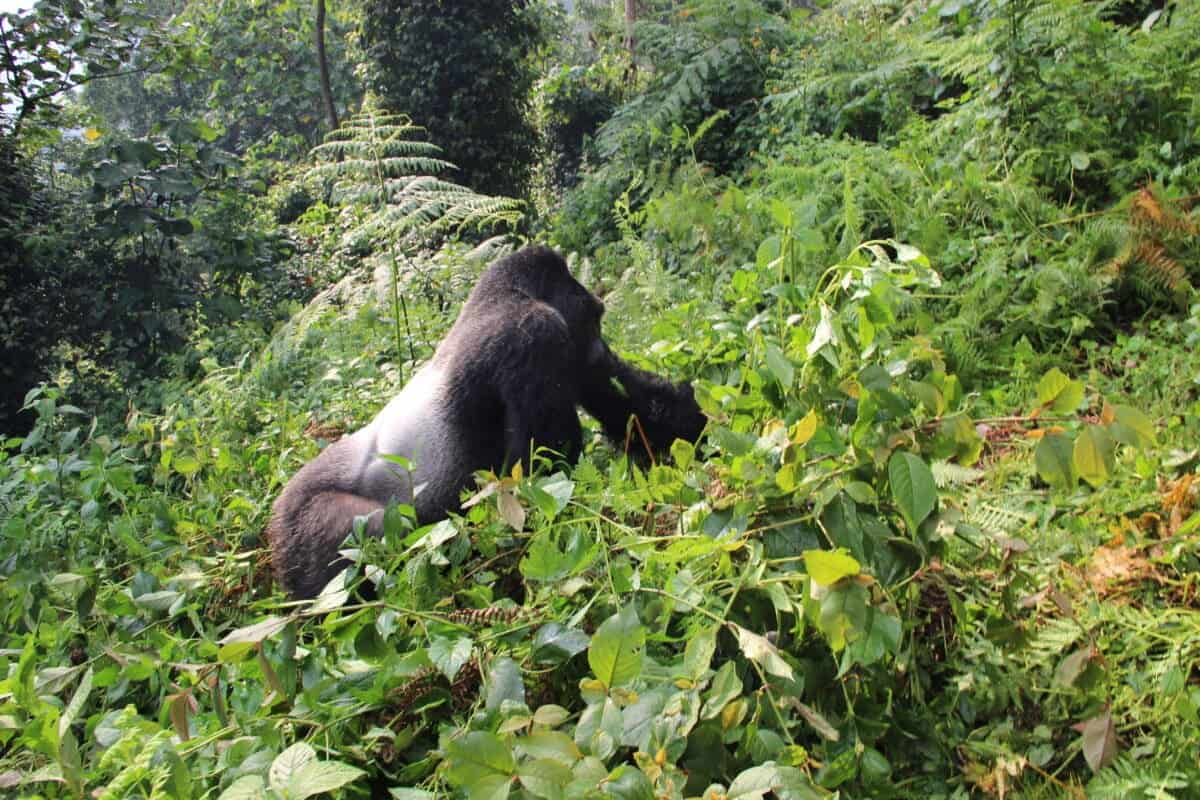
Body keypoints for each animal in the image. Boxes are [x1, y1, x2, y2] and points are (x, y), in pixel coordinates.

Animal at [270, 247, 700, 597]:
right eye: (595, 317)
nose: (601, 348)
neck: (508, 295)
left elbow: (628, 410)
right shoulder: (536, 333)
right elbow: (543, 472)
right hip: (302, 524)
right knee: (372, 531)